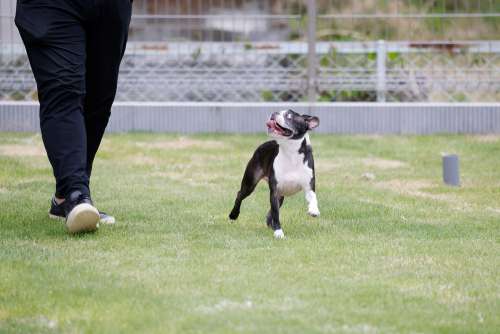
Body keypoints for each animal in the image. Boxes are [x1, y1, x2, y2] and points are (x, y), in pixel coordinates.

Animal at [228, 109, 318, 237]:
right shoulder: (274, 191)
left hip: (280, 196)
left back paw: (270, 223)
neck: (291, 153)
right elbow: (276, 212)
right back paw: (233, 215)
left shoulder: (309, 186)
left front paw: (314, 210)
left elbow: (313, 197)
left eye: (289, 116)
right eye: (280, 111)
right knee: (240, 194)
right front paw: (279, 232)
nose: (274, 113)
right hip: (250, 183)